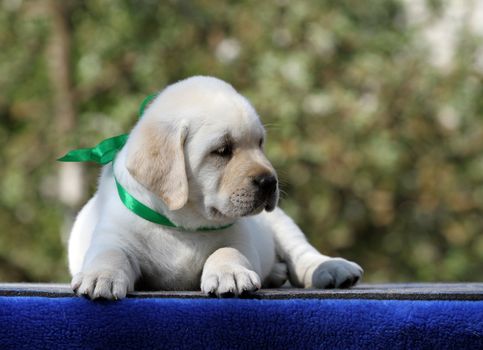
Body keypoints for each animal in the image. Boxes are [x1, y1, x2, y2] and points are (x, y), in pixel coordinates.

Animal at [69, 76, 364, 298]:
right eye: (222, 150)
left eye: (260, 143)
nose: (270, 182)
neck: (183, 226)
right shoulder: (114, 235)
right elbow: (110, 254)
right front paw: (100, 276)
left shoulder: (240, 238)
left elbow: (227, 250)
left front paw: (230, 274)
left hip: (280, 223)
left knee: (302, 254)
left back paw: (332, 268)